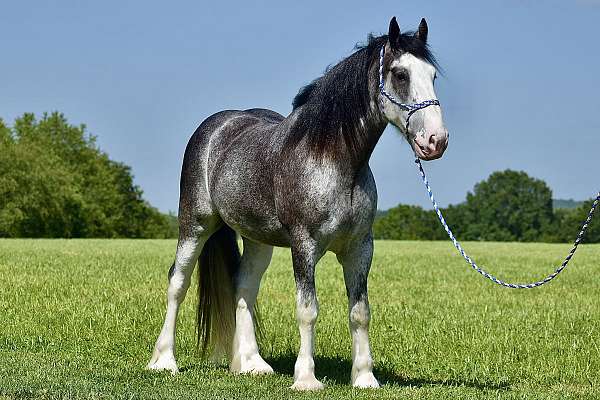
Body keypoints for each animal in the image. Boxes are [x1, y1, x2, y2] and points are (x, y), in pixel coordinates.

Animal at [146, 16, 446, 390]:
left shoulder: (360, 247)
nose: (436, 140)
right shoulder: (304, 246)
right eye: (401, 74)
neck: (334, 161)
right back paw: (163, 361)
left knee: (244, 286)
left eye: (432, 75)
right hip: (195, 225)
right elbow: (308, 310)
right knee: (178, 282)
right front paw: (306, 379)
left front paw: (364, 378)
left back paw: (251, 364)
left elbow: (360, 312)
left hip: (258, 240)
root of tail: (217, 127)